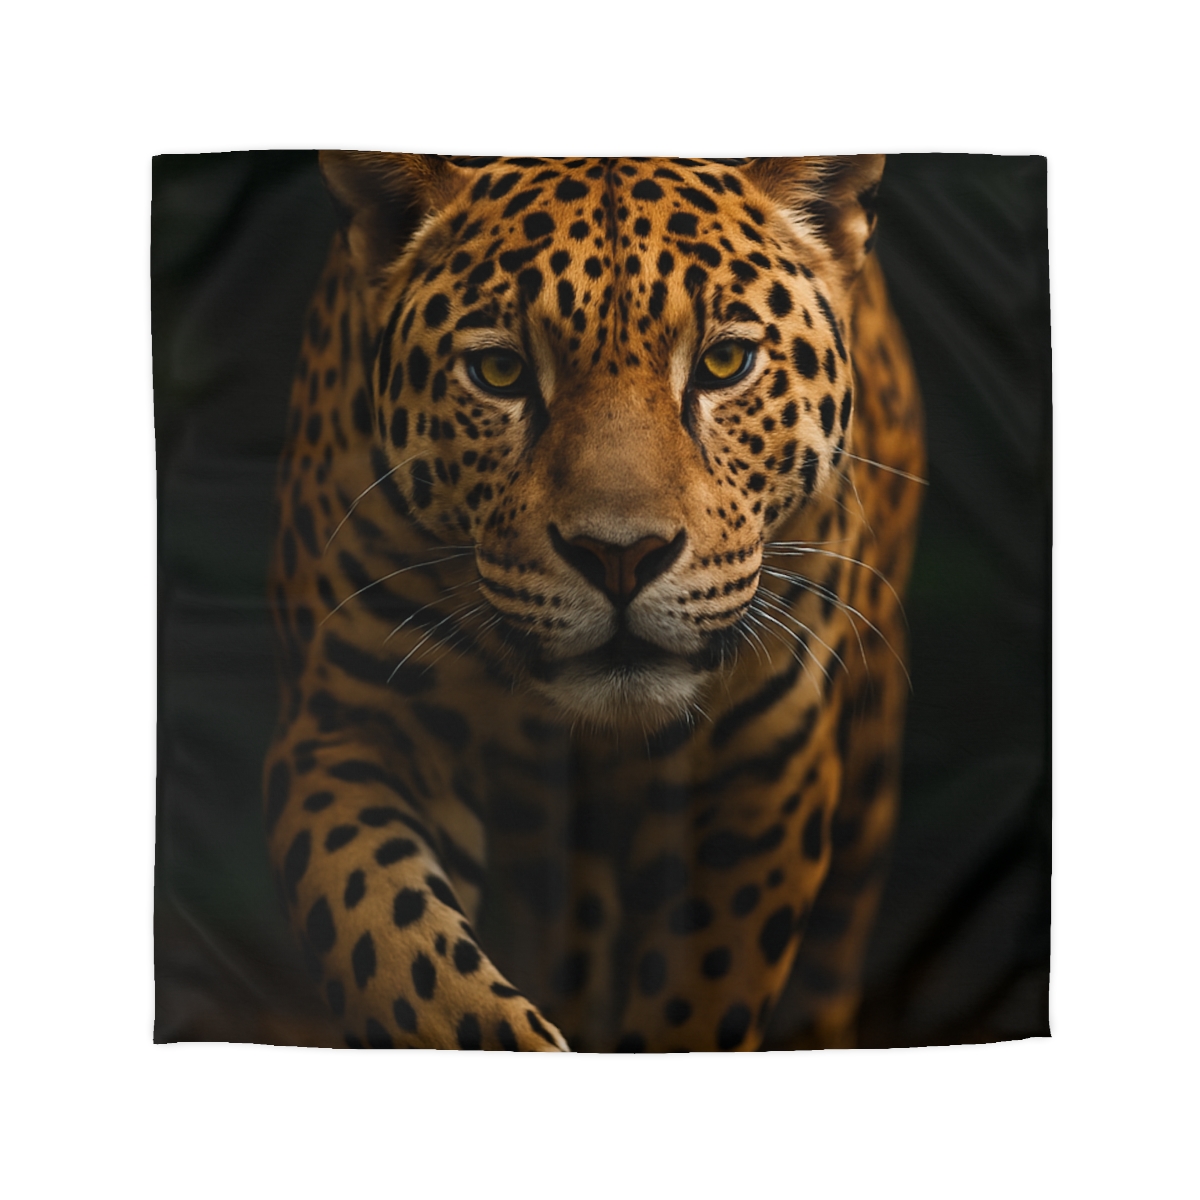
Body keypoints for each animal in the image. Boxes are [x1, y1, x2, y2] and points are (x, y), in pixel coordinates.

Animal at [263, 154, 924, 1051]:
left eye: (724, 364)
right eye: (500, 372)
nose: (621, 556)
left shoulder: (762, 768)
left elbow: (700, 1004)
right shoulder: (349, 728)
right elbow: (411, 968)